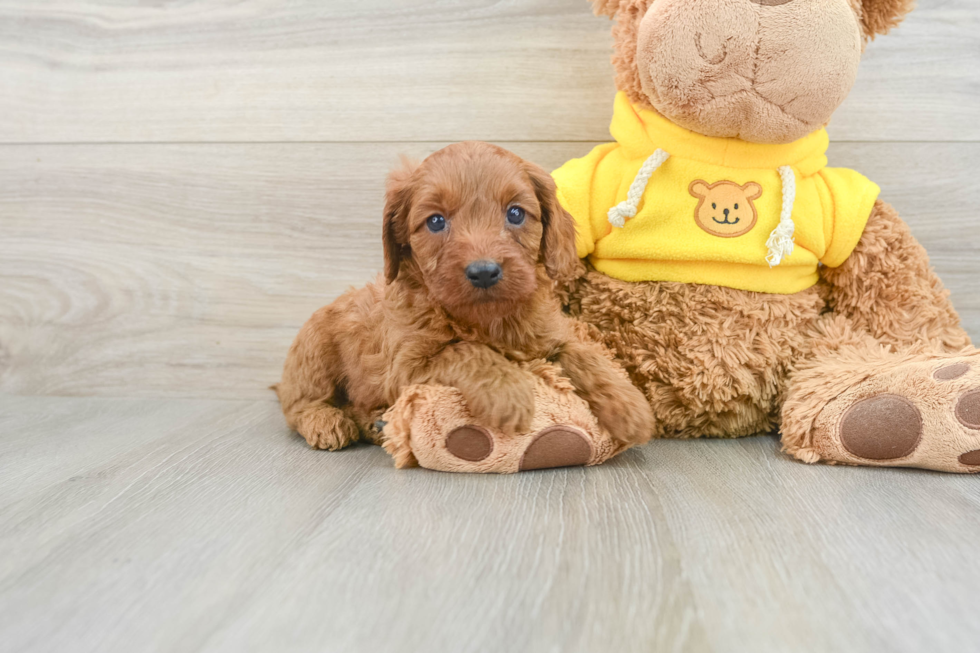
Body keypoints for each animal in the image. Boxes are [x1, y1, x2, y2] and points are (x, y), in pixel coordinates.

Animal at [276, 141, 656, 450]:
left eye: (515, 213)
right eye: (435, 221)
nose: (484, 271)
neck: (488, 319)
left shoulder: (551, 333)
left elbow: (584, 353)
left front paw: (631, 406)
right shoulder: (406, 366)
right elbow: (466, 349)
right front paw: (509, 391)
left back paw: (375, 423)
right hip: (314, 350)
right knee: (298, 404)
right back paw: (326, 422)